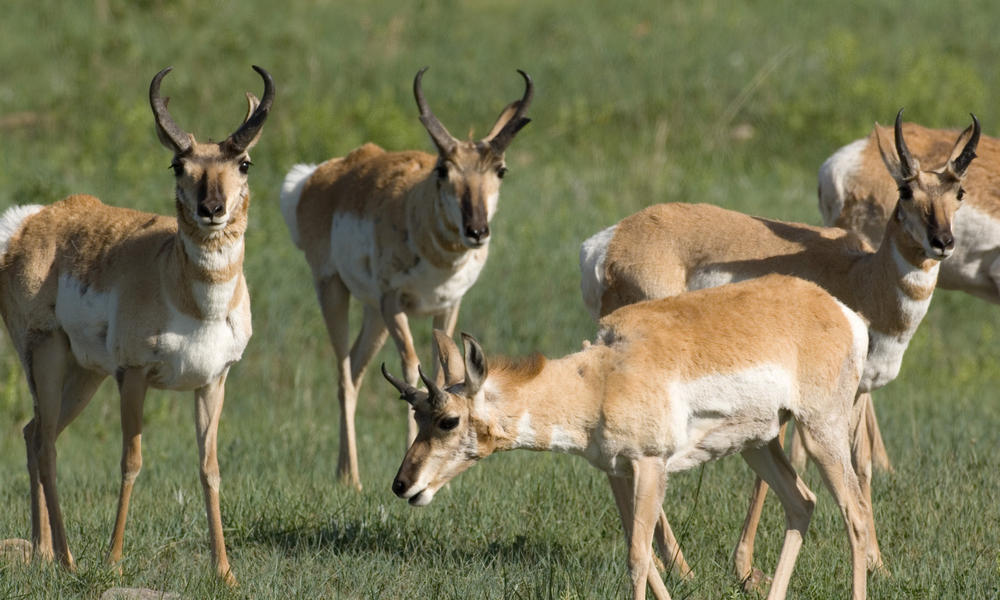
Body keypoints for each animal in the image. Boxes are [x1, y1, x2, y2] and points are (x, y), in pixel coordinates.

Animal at [0, 67, 274, 584]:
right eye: (177, 165)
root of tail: (29, 224)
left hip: (84, 375)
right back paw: (67, 558)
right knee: (45, 444)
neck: (191, 298)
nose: (211, 209)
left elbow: (209, 469)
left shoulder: (213, 382)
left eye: (245, 163)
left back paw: (44, 552)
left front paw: (225, 571)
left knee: (33, 432)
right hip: (47, 358)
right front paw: (113, 560)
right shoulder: (133, 376)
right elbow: (131, 461)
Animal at [280, 67, 532, 488]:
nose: (477, 230)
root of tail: (321, 175)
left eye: (500, 169)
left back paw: (344, 471)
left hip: (374, 316)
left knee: (355, 366)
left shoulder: (447, 305)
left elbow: (442, 370)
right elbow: (411, 368)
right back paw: (351, 478)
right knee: (343, 373)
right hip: (334, 291)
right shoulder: (394, 302)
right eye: (443, 169)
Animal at [386, 276, 872, 600]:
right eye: (417, 413)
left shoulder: (650, 466)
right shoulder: (618, 473)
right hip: (759, 445)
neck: (599, 378)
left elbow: (639, 559)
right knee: (802, 503)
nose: (401, 485)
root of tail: (840, 311)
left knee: (855, 515)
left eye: (448, 420)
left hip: (820, 431)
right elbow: (643, 556)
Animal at [580, 111, 976, 584]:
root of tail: (608, 242)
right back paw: (682, 568)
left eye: (959, 191)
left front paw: (879, 564)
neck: (861, 275)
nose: (943, 242)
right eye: (905, 190)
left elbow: (861, 464)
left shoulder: (856, 394)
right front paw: (747, 570)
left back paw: (663, 562)